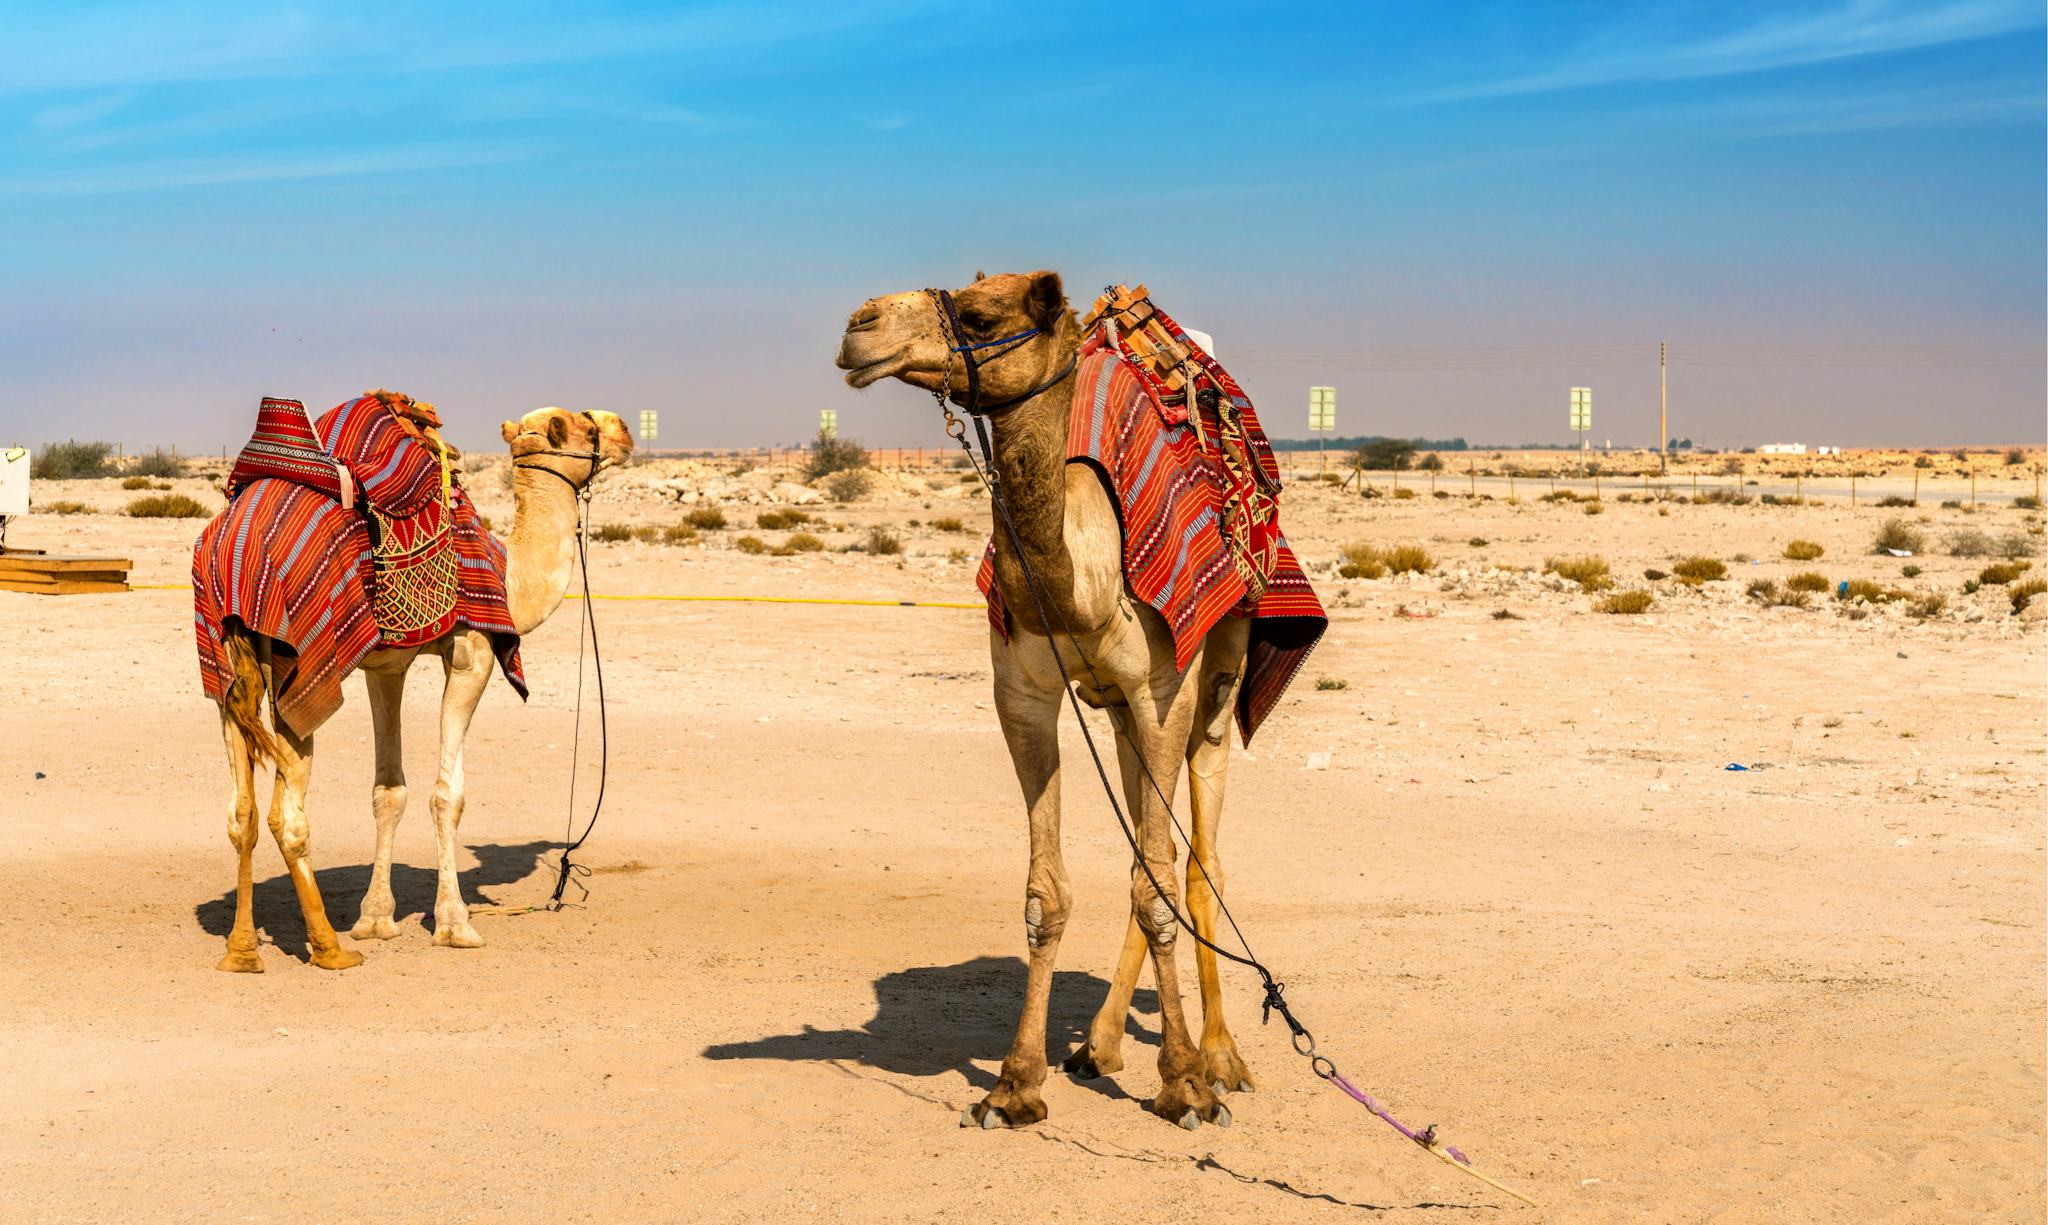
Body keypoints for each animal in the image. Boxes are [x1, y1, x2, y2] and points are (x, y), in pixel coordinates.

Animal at [201, 399, 630, 975]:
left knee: (241, 812)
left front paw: (376, 919)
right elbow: (447, 796)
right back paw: (330, 949)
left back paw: (243, 951)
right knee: (285, 816)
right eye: (585, 424)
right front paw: (455, 925)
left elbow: (389, 792)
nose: (625, 431)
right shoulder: (472, 653)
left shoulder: (386, 668)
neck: (508, 574)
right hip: (295, 670)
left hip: (230, 670)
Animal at [835, 274, 1327, 1138]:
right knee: (1148, 851)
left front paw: (1185, 1085)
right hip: (1123, 722)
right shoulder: (1024, 695)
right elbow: (1049, 893)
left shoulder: (1161, 690)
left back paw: (1221, 1056)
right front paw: (1014, 1084)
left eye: (980, 314)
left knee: (1197, 861)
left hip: (1213, 685)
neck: (1079, 577)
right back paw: (1098, 1044)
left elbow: (1160, 882)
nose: (858, 326)